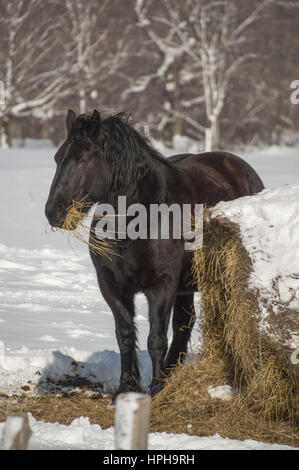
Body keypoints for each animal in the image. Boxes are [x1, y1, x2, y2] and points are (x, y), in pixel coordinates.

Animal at [45, 110, 264, 400]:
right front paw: (127, 388)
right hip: (186, 287)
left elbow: (156, 339)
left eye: (83, 160)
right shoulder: (111, 286)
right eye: (58, 157)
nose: (53, 211)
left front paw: (157, 389)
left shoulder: (161, 286)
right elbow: (125, 335)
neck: (137, 220)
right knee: (184, 324)